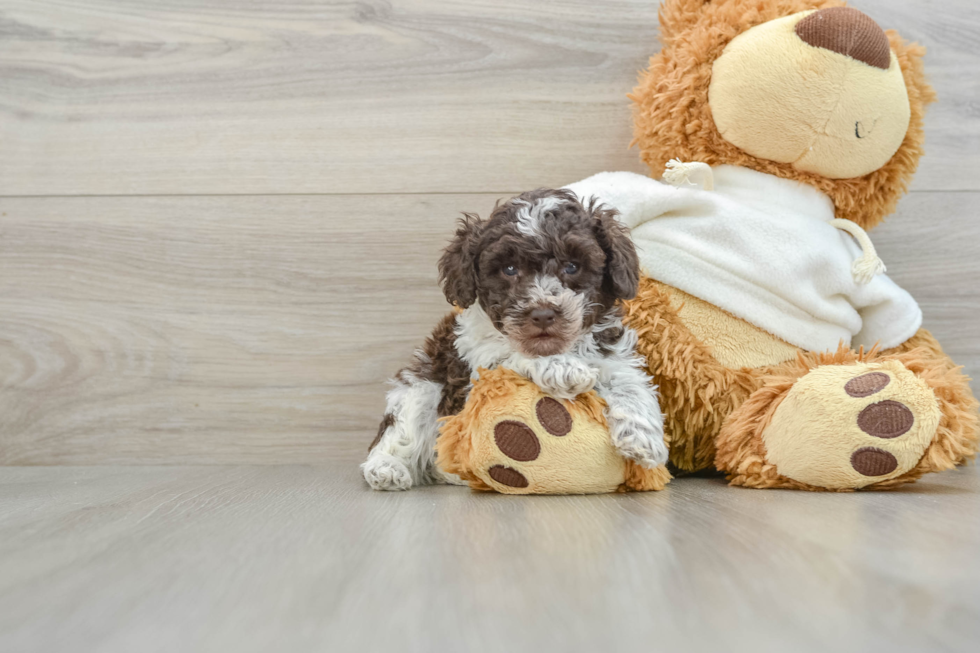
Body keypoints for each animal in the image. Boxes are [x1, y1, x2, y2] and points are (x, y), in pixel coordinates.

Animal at [360, 188, 668, 488]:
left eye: (571, 266)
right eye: (509, 270)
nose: (543, 314)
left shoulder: (610, 353)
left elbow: (629, 382)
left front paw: (644, 438)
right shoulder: (474, 369)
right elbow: (510, 355)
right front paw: (561, 368)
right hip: (420, 387)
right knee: (400, 430)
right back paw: (387, 468)